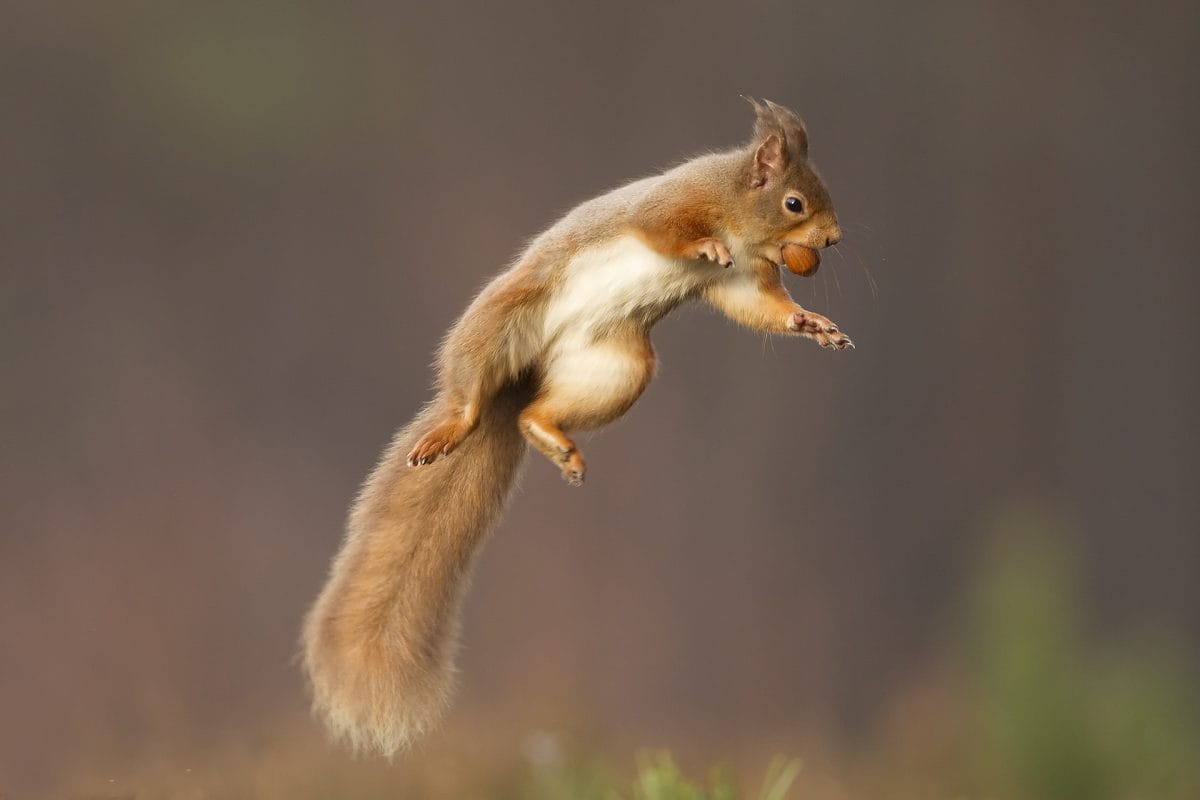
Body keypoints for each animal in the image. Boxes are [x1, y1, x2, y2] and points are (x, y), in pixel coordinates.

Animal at [302, 99, 852, 756]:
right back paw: (454, 428)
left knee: (531, 414)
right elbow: (666, 230)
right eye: (795, 202)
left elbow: (763, 308)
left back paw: (553, 439)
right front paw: (705, 245)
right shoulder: (671, 205)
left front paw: (812, 323)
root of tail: (523, 377)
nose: (835, 238)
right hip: (497, 324)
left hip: (618, 369)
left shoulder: (744, 281)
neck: (741, 214)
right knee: (470, 395)